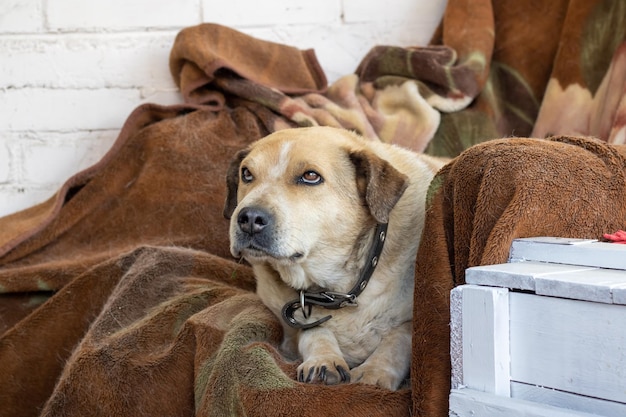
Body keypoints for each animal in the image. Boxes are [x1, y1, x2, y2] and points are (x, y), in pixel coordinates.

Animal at [222, 125, 442, 388]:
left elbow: (399, 337)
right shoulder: (292, 328)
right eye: (246, 174)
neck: (339, 290)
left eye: (310, 176)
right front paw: (323, 360)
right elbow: (314, 331)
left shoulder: (419, 321)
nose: (249, 219)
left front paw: (374, 371)